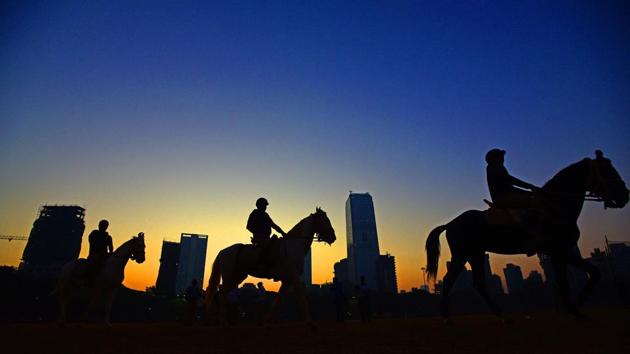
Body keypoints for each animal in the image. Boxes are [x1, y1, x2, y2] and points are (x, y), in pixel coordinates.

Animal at [206, 207, 336, 326]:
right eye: (325, 220)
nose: (333, 237)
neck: (294, 245)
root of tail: (222, 251)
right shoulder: (293, 276)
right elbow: (302, 298)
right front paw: (310, 321)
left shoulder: (287, 280)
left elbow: (278, 300)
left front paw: (267, 320)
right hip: (229, 275)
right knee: (222, 293)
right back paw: (223, 320)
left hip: (237, 276)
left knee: (223, 292)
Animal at [428, 151, 628, 322]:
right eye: (607, 170)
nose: (625, 196)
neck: (555, 206)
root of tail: (450, 223)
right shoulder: (558, 250)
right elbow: (571, 279)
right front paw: (575, 306)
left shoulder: (559, 251)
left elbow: (588, 274)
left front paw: (575, 307)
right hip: (464, 254)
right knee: (451, 281)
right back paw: (447, 317)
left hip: (474, 254)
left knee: (475, 283)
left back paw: (500, 315)